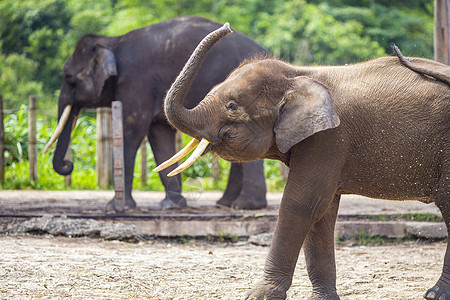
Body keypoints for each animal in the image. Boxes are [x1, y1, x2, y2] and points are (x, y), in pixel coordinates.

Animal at [43, 14, 268, 211]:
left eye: (69, 77)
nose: (68, 164)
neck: (112, 42)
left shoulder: (135, 81)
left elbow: (132, 131)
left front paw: (117, 208)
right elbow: (159, 136)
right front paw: (171, 206)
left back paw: (244, 206)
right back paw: (225, 204)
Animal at [156, 24, 450, 300]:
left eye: (231, 106)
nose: (228, 27)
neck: (297, 74)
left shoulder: (329, 138)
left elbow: (301, 203)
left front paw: (258, 296)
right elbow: (322, 209)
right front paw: (323, 299)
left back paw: (435, 294)